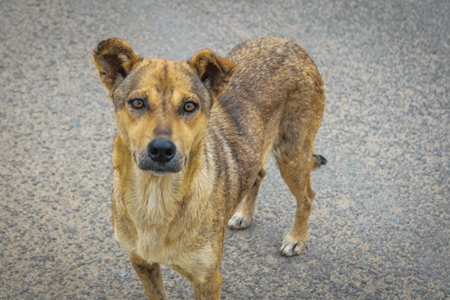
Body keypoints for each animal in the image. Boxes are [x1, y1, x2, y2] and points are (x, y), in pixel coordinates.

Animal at [93, 38, 326, 300]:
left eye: (189, 106)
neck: (155, 197)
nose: (162, 149)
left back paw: (296, 238)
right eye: (137, 103)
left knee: (307, 197)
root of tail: (289, 43)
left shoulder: (208, 279)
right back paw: (244, 215)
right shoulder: (142, 263)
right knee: (258, 174)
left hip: (292, 157)